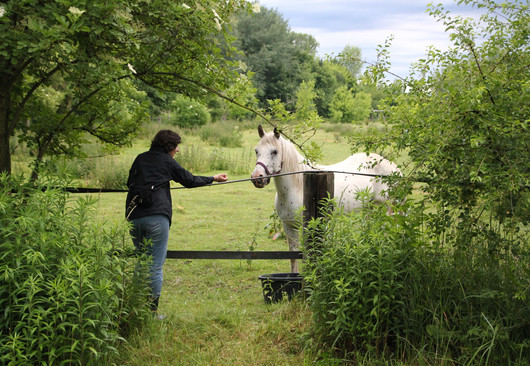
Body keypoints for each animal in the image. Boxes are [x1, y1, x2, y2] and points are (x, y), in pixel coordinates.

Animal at [250, 125, 398, 272]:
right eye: (257, 151)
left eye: (274, 151)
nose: (257, 178)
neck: (298, 187)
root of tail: (393, 167)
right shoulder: (289, 227)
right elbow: (293, 258)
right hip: (370, 207)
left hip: (389, 207)